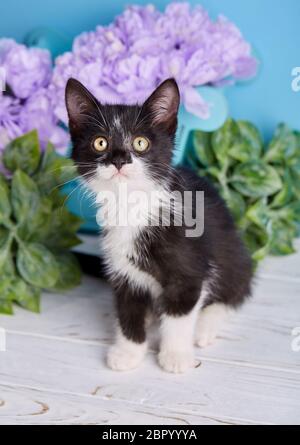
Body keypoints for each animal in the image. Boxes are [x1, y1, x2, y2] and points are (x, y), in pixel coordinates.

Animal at [65, 78, 253, 372]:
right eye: (100, 142)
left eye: (140, 143)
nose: (119, 160)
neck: (133, 206)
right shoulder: (123, 270)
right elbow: (128, 310)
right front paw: (128, 352)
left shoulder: (189, 272)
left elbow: (180, 314)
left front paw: (175, 355)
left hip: (234, 253)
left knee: (235, 290)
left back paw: (205, 324)